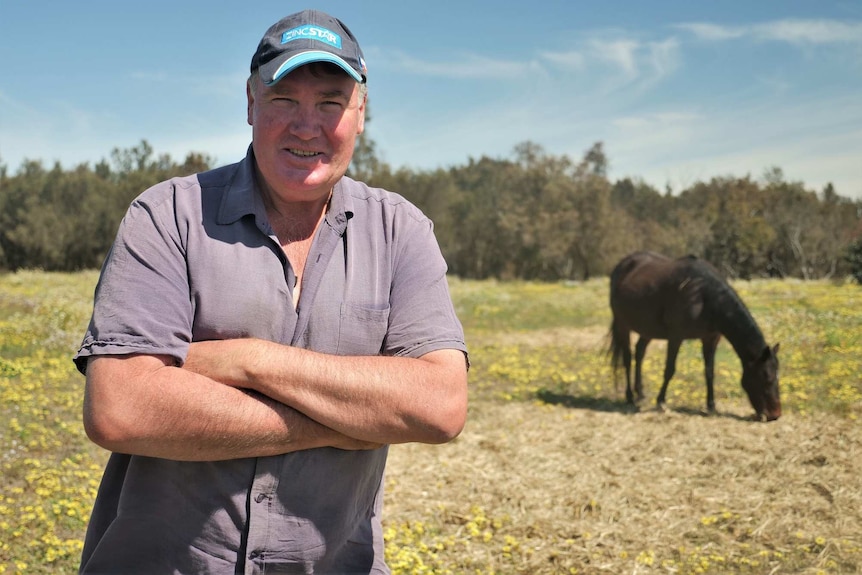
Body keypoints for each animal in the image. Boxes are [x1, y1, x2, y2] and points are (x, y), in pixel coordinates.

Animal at [608, 251, 784, 418]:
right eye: (766, 377)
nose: (775, 415)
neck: (702, 295)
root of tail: (622, 265)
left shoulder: (711, 339)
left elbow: (709, 372)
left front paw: (711, 405)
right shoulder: (676, 337)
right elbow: (669, 369)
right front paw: (661, 401)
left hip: (647, 329)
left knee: (639, 353)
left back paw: (640, 394)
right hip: (622, 324)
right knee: (627, 359)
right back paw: (630, 396)